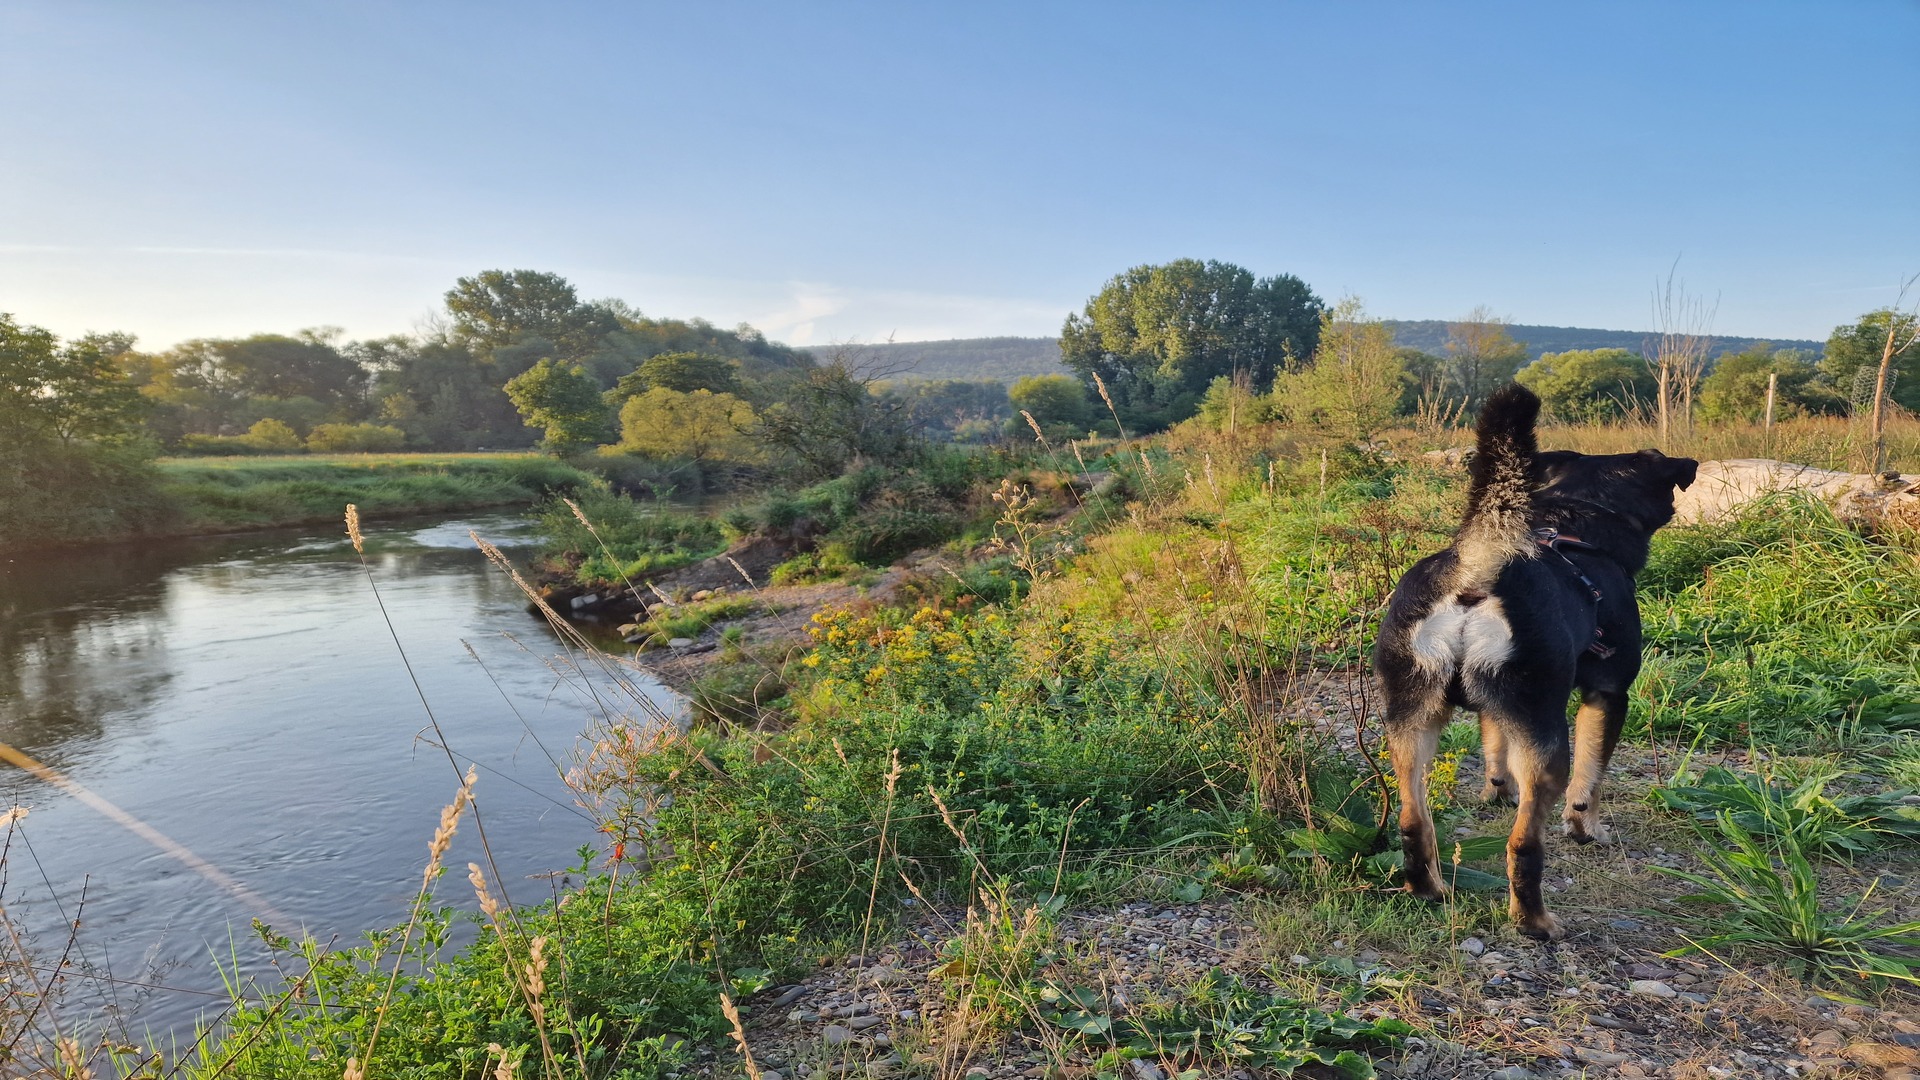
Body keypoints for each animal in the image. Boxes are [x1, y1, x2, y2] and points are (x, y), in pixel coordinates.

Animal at [1374, 382, 1704, 937]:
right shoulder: (1607, 694)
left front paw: (1498, 790)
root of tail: (1478, 564)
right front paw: (1586, 828)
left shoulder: (1498, 712)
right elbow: (1590, 778)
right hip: (1545, 735)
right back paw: (1534, 920)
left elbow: (1494, 749)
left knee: (1413, 822)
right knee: (1524, 844)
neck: (1576, 526)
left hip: (1411, 721)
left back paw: (1428, 889)